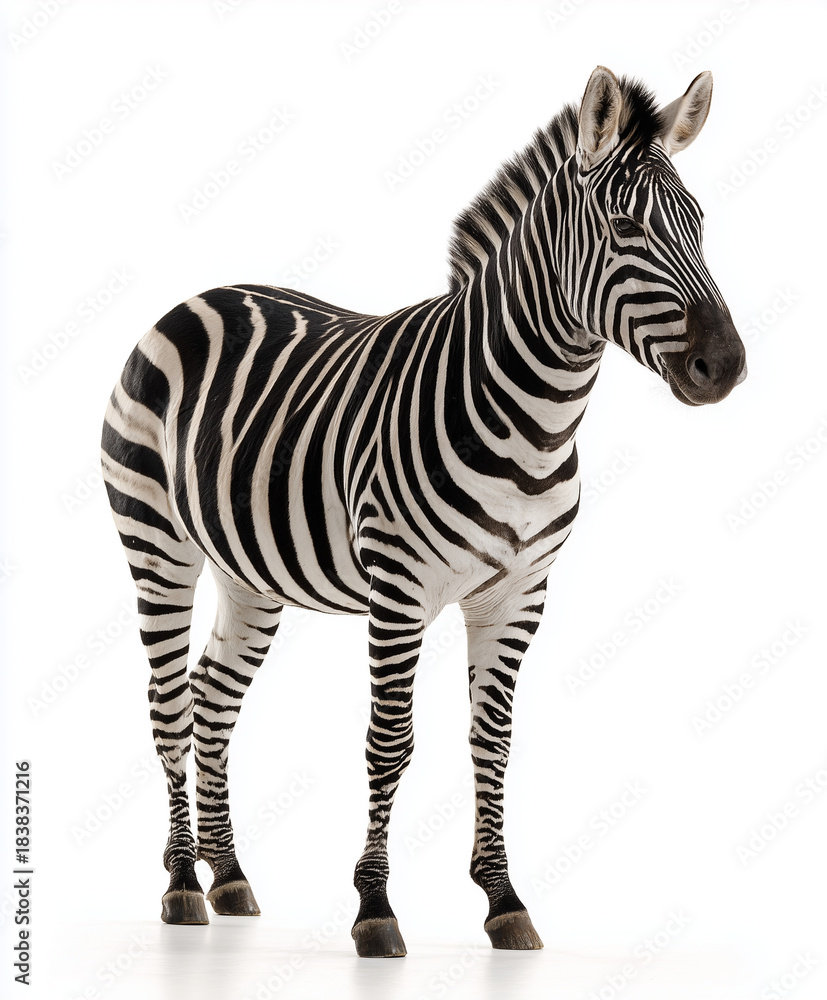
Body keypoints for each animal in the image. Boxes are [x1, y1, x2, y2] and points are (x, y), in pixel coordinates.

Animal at [100, 66, 746, 957]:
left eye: (700, 224)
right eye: (624, 226)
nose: (726, 366)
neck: (532, 420)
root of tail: (203, 295)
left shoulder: (518, 594)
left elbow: (491, 739)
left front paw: (503, 898)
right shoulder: (398, 590)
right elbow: (389, 742)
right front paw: (374, 908)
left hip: (247, 574)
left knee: (212, 699)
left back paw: (227, 877)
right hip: (157, 544)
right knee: (167, 702)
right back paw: (179, 887)